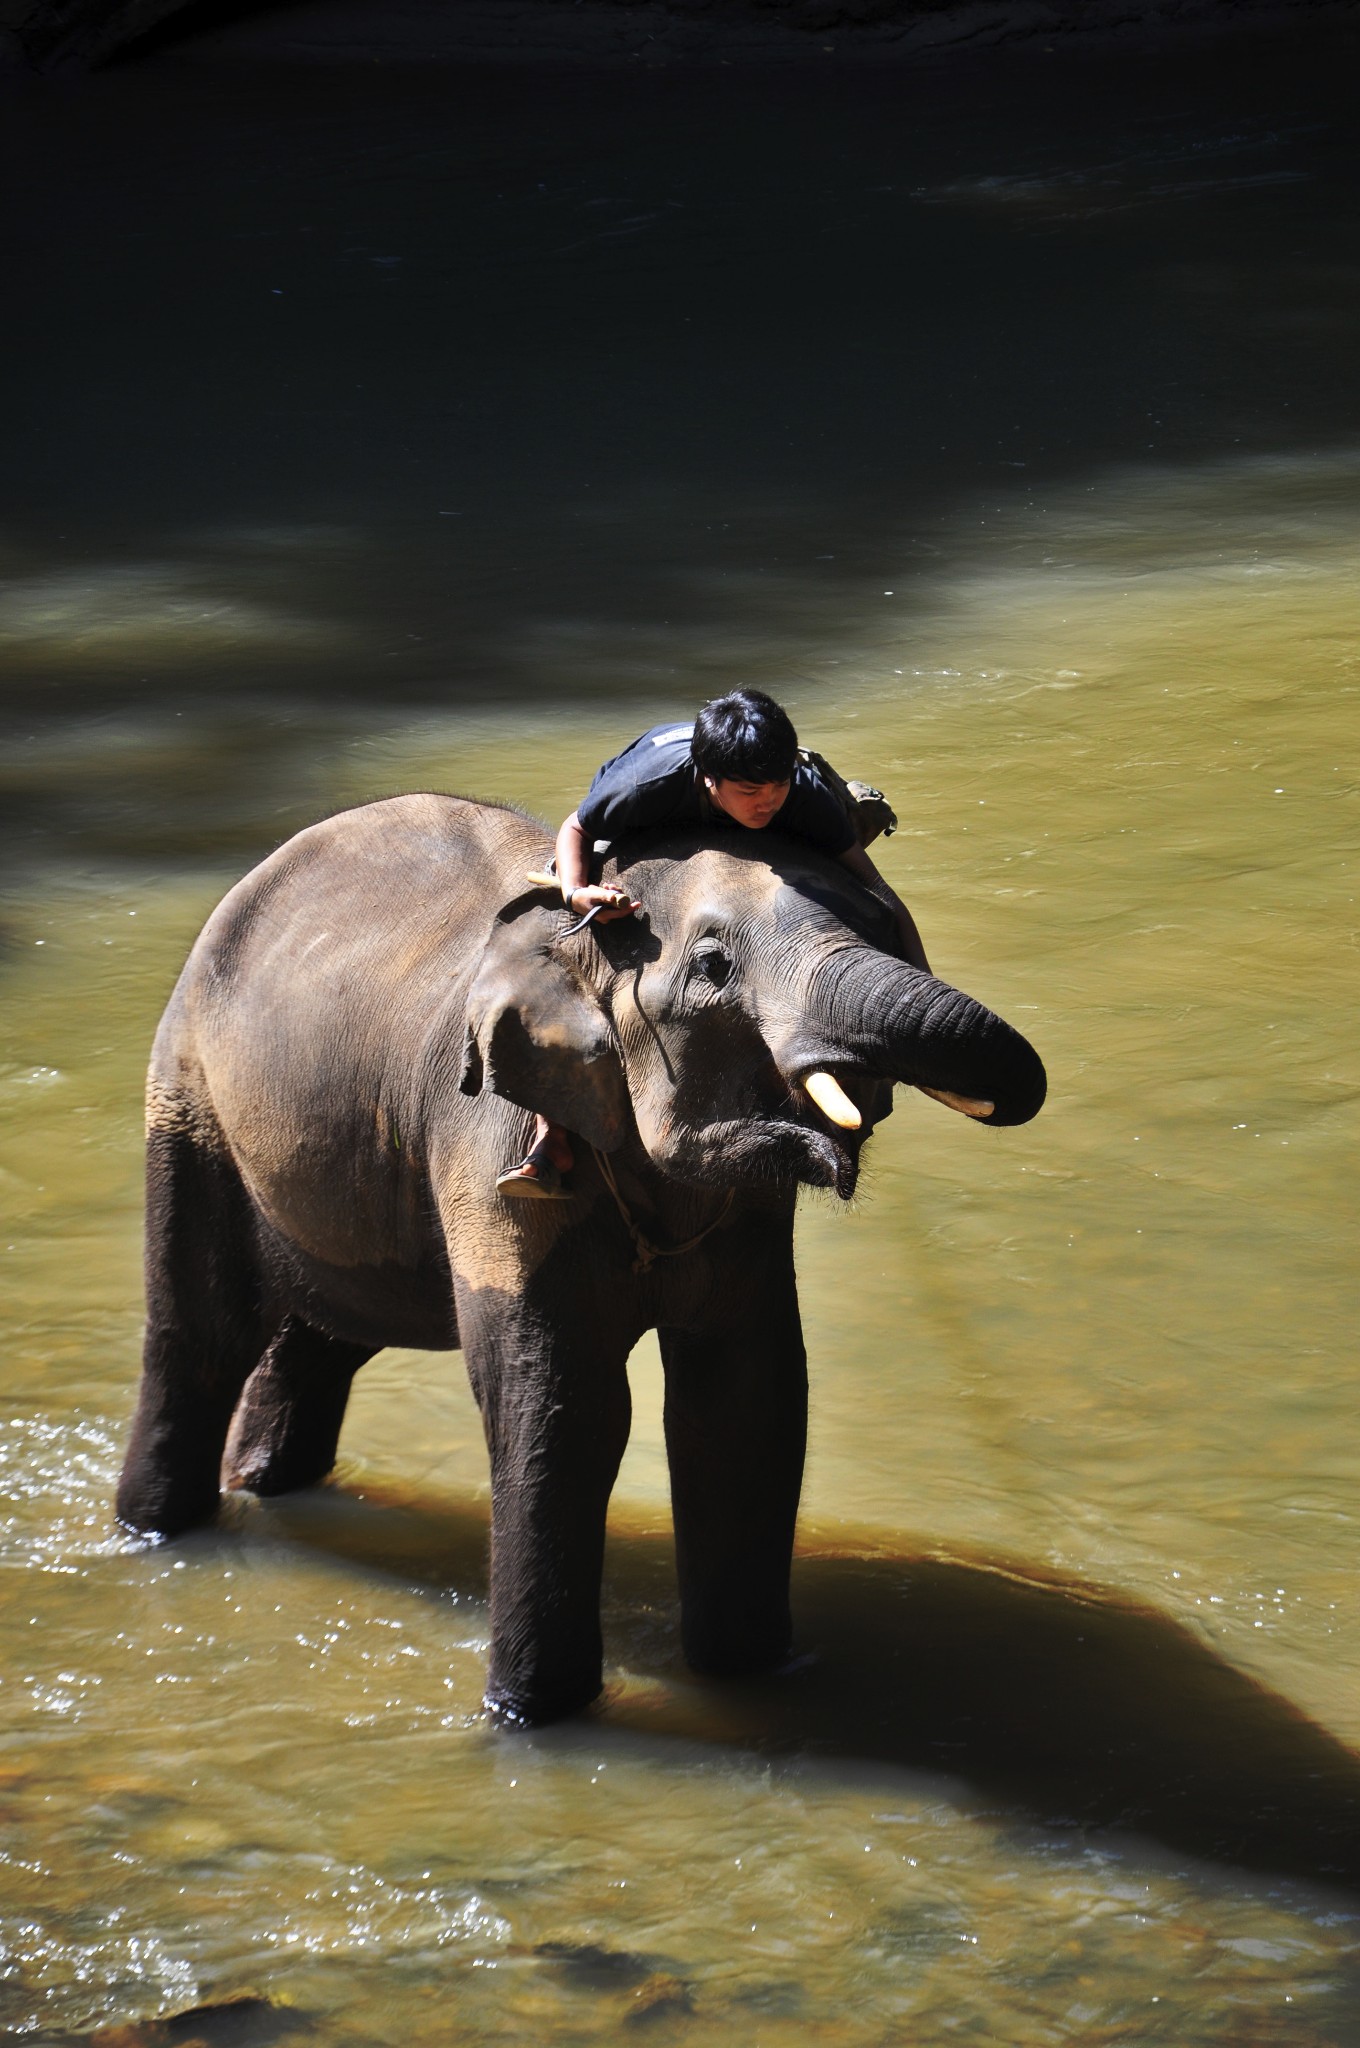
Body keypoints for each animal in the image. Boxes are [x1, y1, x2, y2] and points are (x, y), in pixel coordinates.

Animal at [116, 790, 1044, 1720]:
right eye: (713, 965)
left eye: (888, 927)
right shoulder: (493, 1143)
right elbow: (563, 1406)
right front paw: (531, 1716)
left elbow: (746, 1398)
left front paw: (748, 1676)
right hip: (191, 1096)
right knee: (201, 1336)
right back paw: (154, 1529)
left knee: (320, 1337)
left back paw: (263, 1482)